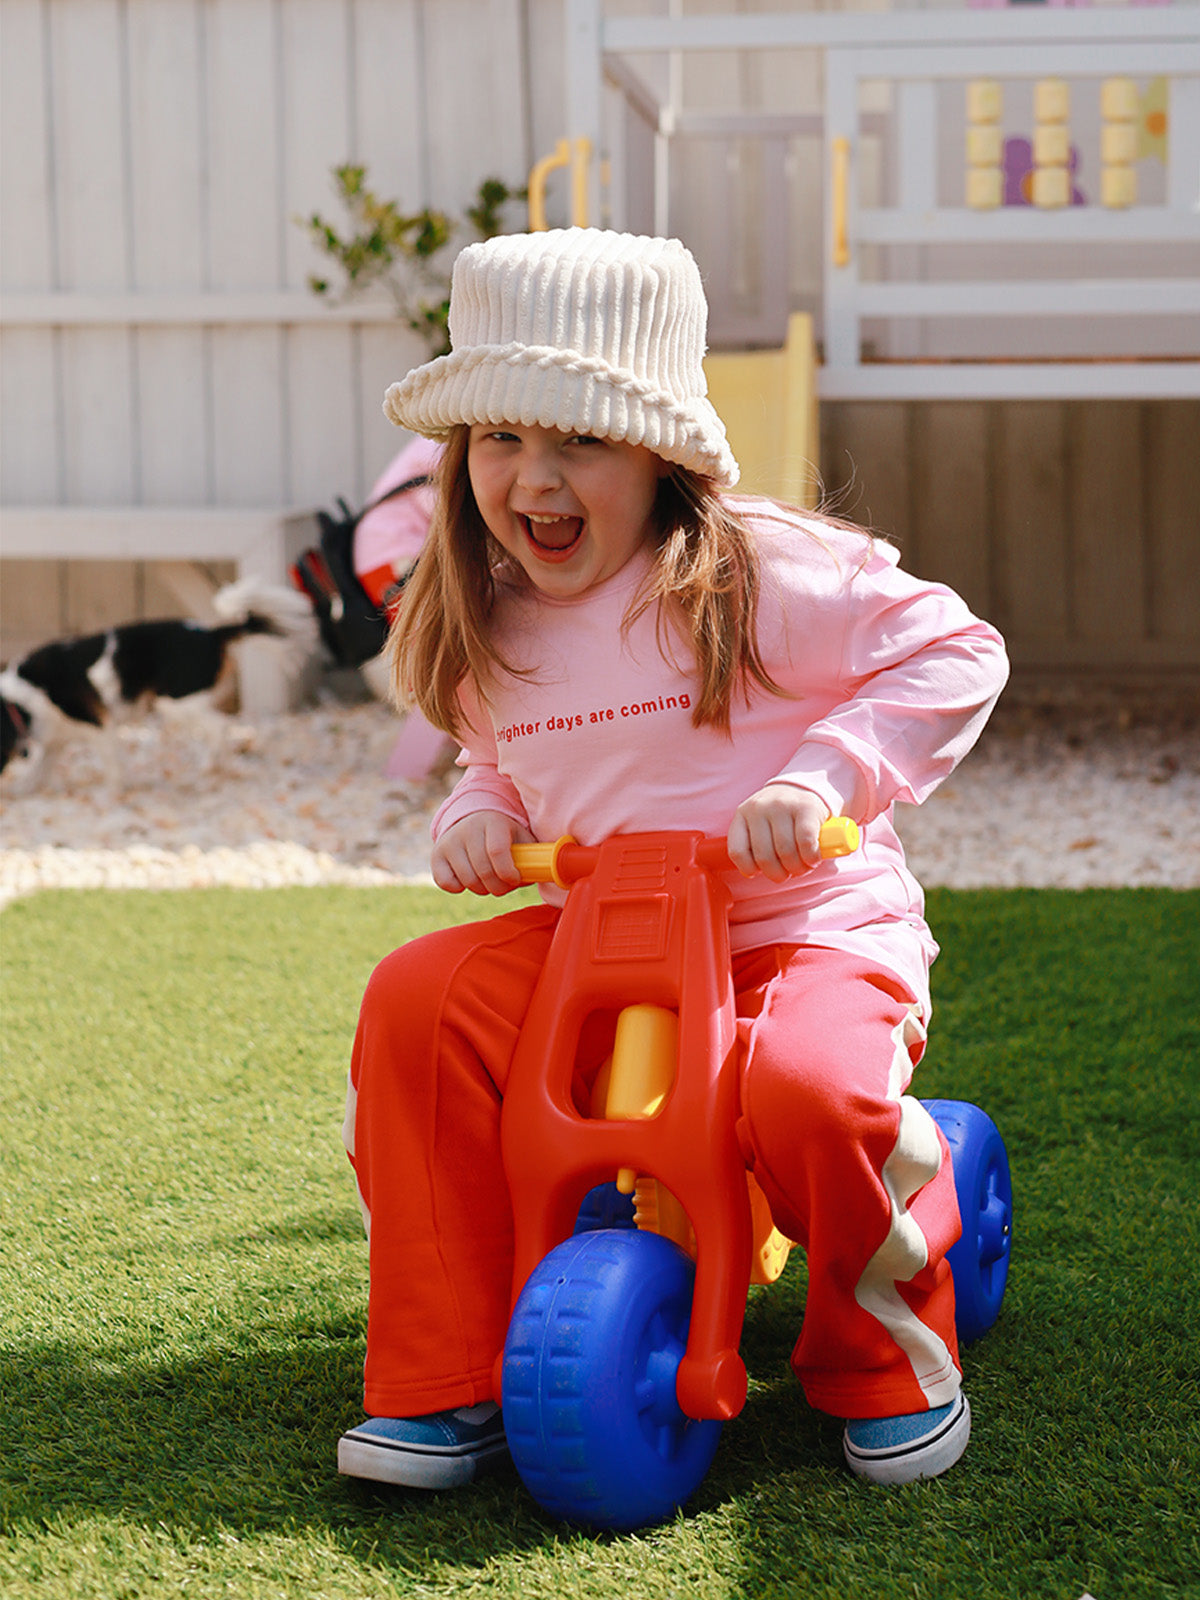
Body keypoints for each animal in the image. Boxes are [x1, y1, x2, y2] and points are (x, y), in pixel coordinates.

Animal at [0, 582, 315, 793]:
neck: (21, 699)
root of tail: (212, 633)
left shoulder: (97, 725)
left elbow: (111, 763)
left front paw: (112, 793)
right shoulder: (58, 737)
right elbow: (41, 768)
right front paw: (24, 789)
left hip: (176, 702)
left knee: (220, 727)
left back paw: (210, 767)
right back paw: (215, 768)